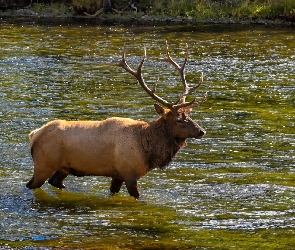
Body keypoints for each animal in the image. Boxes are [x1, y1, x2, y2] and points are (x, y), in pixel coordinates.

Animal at [27, 42, 208, 199]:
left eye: (189, 116)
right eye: (178, 120)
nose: (201, 131)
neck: (147, 149)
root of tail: (34, 134)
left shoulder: (117, 175)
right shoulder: (129, 173)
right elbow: (137, 196)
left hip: (64, 168)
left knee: (55, 182)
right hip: (43, 164)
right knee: (31, 185)